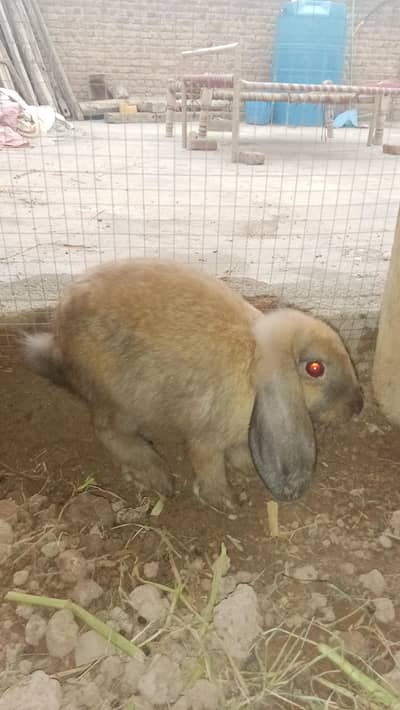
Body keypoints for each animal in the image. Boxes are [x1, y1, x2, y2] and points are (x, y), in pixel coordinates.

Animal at [21, 259, 363, 509]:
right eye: (316, 368)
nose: (358, 406)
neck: (256, 364)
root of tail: (59, 342)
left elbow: (239, 452)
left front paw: (247, 469)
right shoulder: (208, 437)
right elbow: (207, 464)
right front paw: (224, 501)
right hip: (120, 399)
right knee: (107, 430)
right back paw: (154, 472)